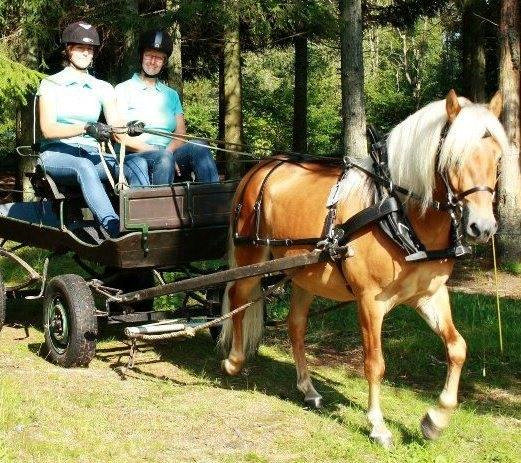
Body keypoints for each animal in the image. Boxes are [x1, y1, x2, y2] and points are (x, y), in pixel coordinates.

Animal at [219, 89, 508, 448]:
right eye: (454, 159)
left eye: (498, 159)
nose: (481, 227)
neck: (396, 212)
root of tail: (259, 167)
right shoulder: (370, 301)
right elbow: (375, 363)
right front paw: (378, 426)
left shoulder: (430, 294)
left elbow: (457, 348)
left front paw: (435, 419)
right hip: (252, 257)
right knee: (237, 296)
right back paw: (234, 361)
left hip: (304, 274)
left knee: (295, 324)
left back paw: (308, 388)